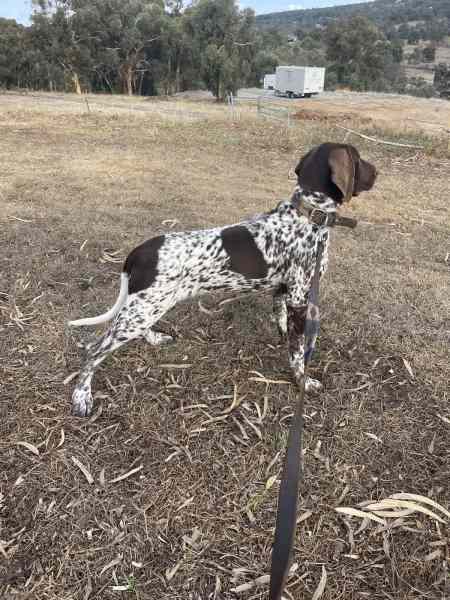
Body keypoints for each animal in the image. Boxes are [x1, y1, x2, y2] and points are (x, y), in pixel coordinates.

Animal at [67, 145, 376, 418]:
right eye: (359, 158)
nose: (378, 171)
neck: (307, 215)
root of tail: (139, 252)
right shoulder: (299, 298)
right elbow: (299, 352)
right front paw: (302, 381)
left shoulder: (282, 293)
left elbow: (284, 329)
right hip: (143, 309)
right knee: (93, 350)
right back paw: (82, 395)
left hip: (148, 306)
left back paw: (154, 338)